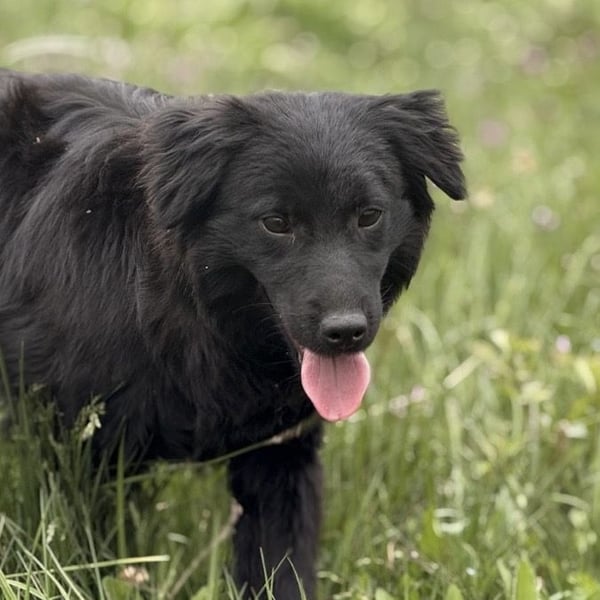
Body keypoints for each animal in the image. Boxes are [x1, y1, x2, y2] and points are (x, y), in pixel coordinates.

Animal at [0, 69, 465, 598]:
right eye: (276, 223)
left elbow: (281, 566)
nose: (346, 332)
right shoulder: (86, 452)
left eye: (369, 215)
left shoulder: (280, 456)